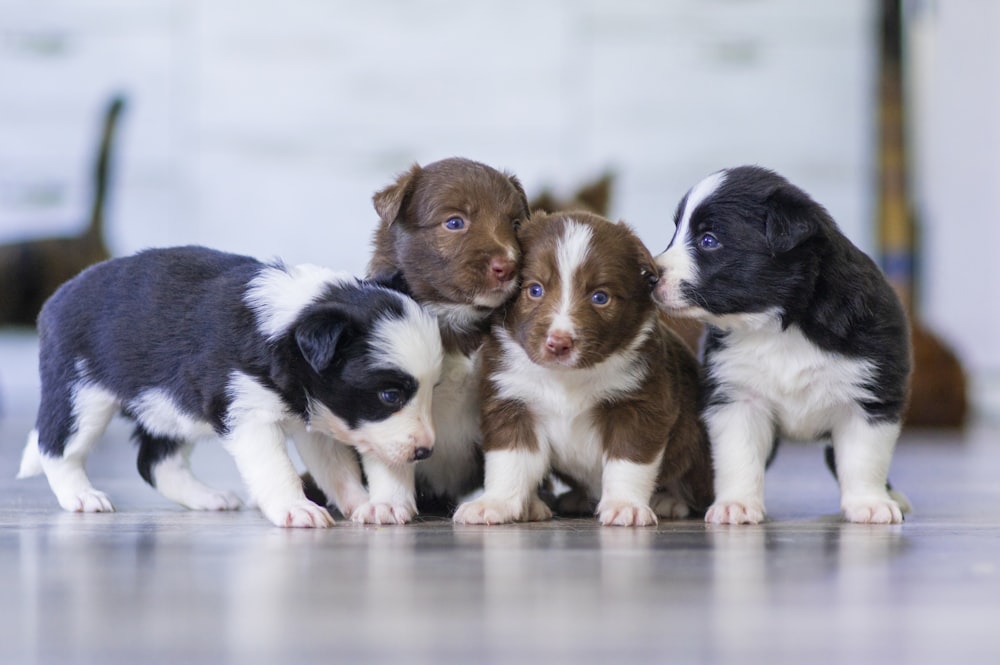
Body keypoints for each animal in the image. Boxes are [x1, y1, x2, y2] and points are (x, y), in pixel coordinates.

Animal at [16, 246, 442, 528]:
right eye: (390, 396)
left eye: (432, 390)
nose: (425, 452)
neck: (289, 326)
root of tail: (57, 297)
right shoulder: (248, 414)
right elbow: (277, 469)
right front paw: (296, 509)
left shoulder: (318, 419)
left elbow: (337, 469)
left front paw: (365, 504)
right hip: (82, 393)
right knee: (57, 447)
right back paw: (82, 496)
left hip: (169, 407)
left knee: (155, 462)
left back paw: (207, 498)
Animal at [652, 166, 912, 524]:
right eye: (675, 232)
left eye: (709, 240)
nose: (650, 274)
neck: (778, 326)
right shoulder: (737, 398)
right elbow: (738, 457)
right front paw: (736, 504)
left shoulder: (869, 397)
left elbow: (863, 459)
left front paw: (869, 503)